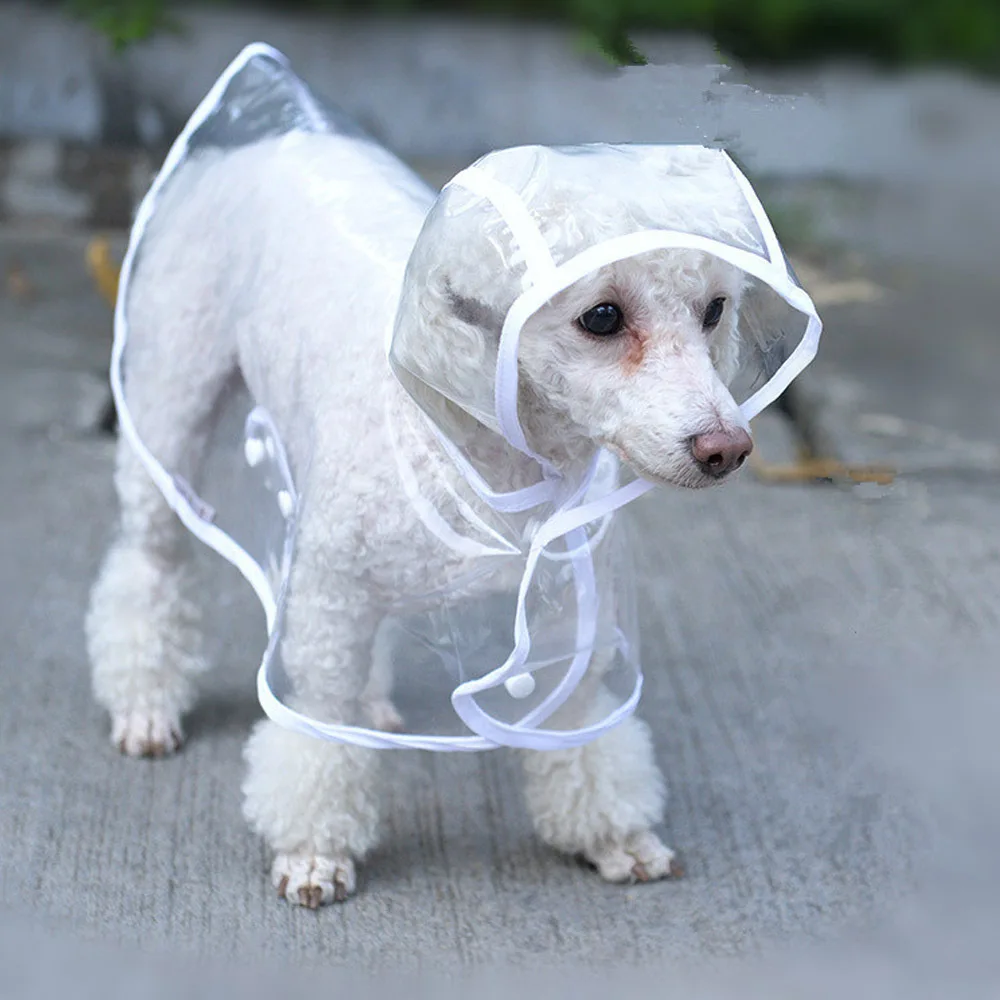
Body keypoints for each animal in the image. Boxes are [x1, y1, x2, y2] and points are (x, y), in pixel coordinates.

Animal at [86, 127, 756, 908]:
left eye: (714, 309)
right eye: (601, 317)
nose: (727, 449)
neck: (467, 437)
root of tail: (272, 137)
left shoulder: (570, 606)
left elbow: (577, 722)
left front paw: (614, 837)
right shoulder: (330, 597)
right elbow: (319, 719)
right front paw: (315, 853)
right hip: (171, 399)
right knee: (151, 559)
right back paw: (145, 703)